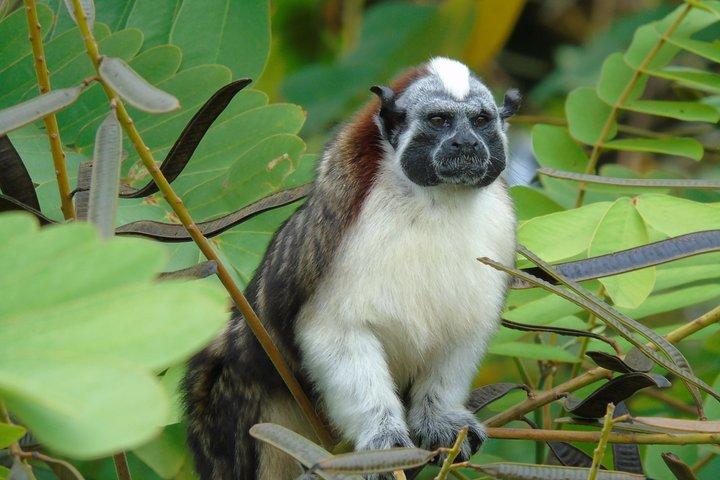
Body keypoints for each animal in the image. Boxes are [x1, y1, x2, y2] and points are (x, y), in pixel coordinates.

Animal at [183, 57, 520, 480]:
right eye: (440, 120)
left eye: (480, 120)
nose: (467, 143)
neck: (436, 200)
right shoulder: (340, 222)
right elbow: (337, 334)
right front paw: (383, 439)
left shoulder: (500, 232)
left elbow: (461, 333)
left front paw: (439, 418)